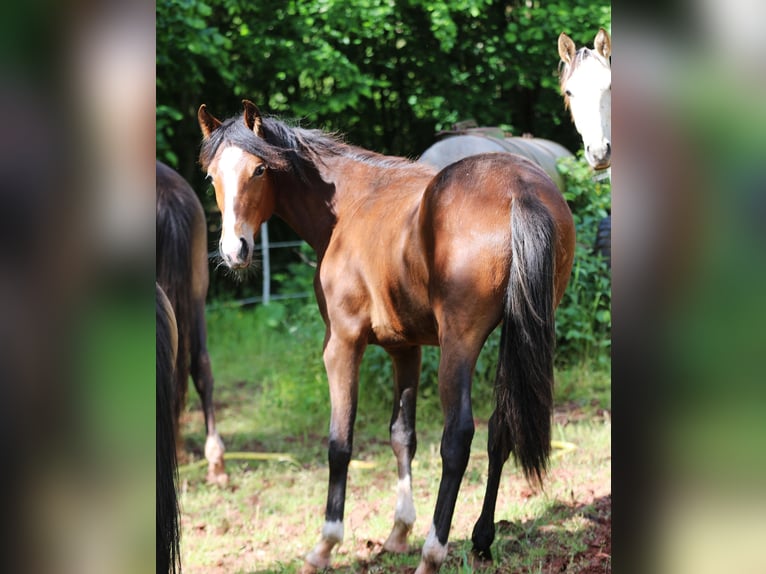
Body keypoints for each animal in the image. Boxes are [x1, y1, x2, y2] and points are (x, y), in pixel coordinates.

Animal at [197, 100, 575, 573]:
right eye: (212, 176)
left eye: (260, 169)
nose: (235, 251)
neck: (348, 206)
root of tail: (519, 189)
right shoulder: (405, 349)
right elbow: (402, 436)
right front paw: (398, 531)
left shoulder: (341, 345)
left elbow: (340, 443)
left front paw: (326, 544)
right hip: (516, 334)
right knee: (499, 429)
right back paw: (481, 540)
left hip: (460, 344)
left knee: (458, 438)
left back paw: (433, 553)